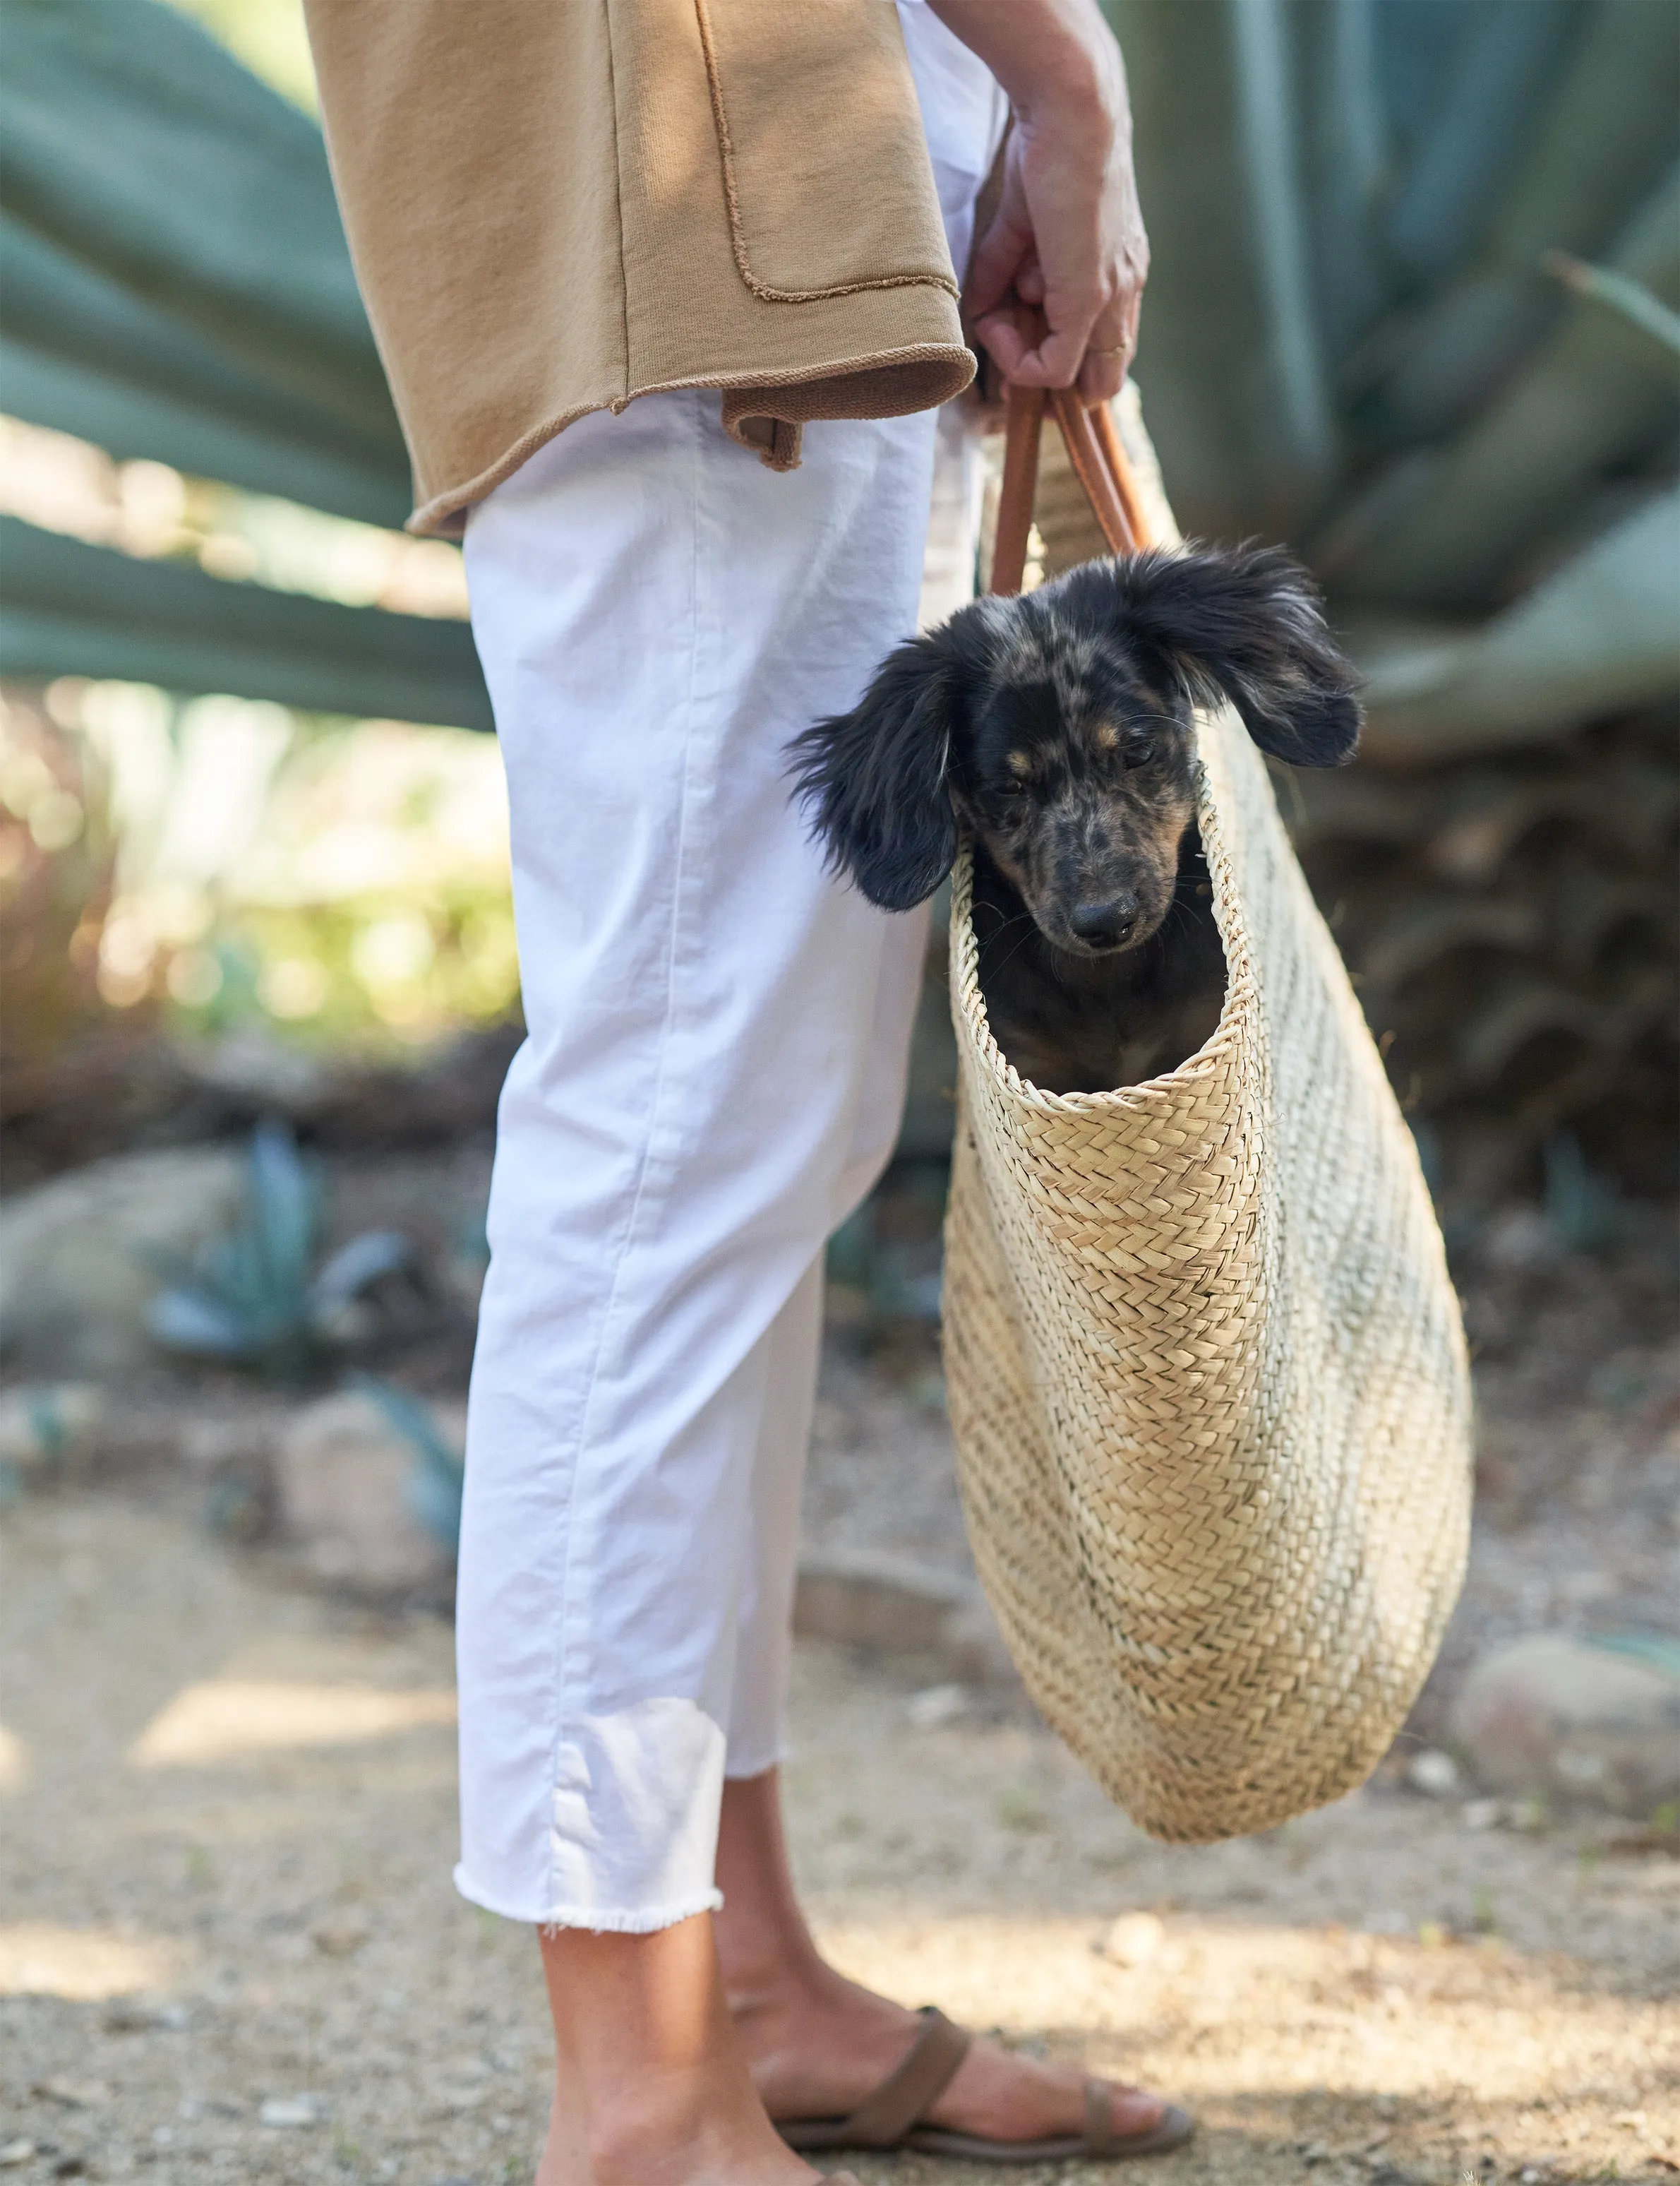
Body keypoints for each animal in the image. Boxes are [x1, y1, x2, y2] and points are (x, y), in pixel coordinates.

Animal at [791, 546, 1363, 1093]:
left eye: (1137, 752)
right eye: (1009, 786)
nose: (1106, 922)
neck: (1109, 981)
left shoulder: (1197, 1034)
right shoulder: (1032, 1063)